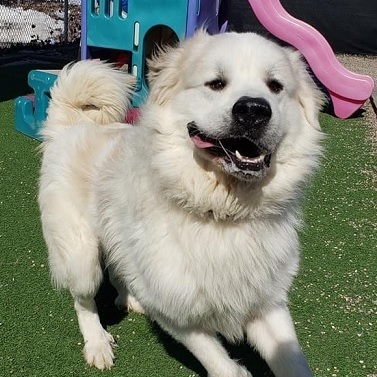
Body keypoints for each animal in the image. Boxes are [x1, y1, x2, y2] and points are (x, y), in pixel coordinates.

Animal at [39, 32, 324, 376]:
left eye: (275, 86)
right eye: (216, 83)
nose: (254, 110)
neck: (223, 213)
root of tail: (71, 125)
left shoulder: (267, 304)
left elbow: (294, 362)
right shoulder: (179, 314)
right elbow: (224, 367)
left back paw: (130, 298)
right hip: (82, 259)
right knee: (83, 302)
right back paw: (97, 344)